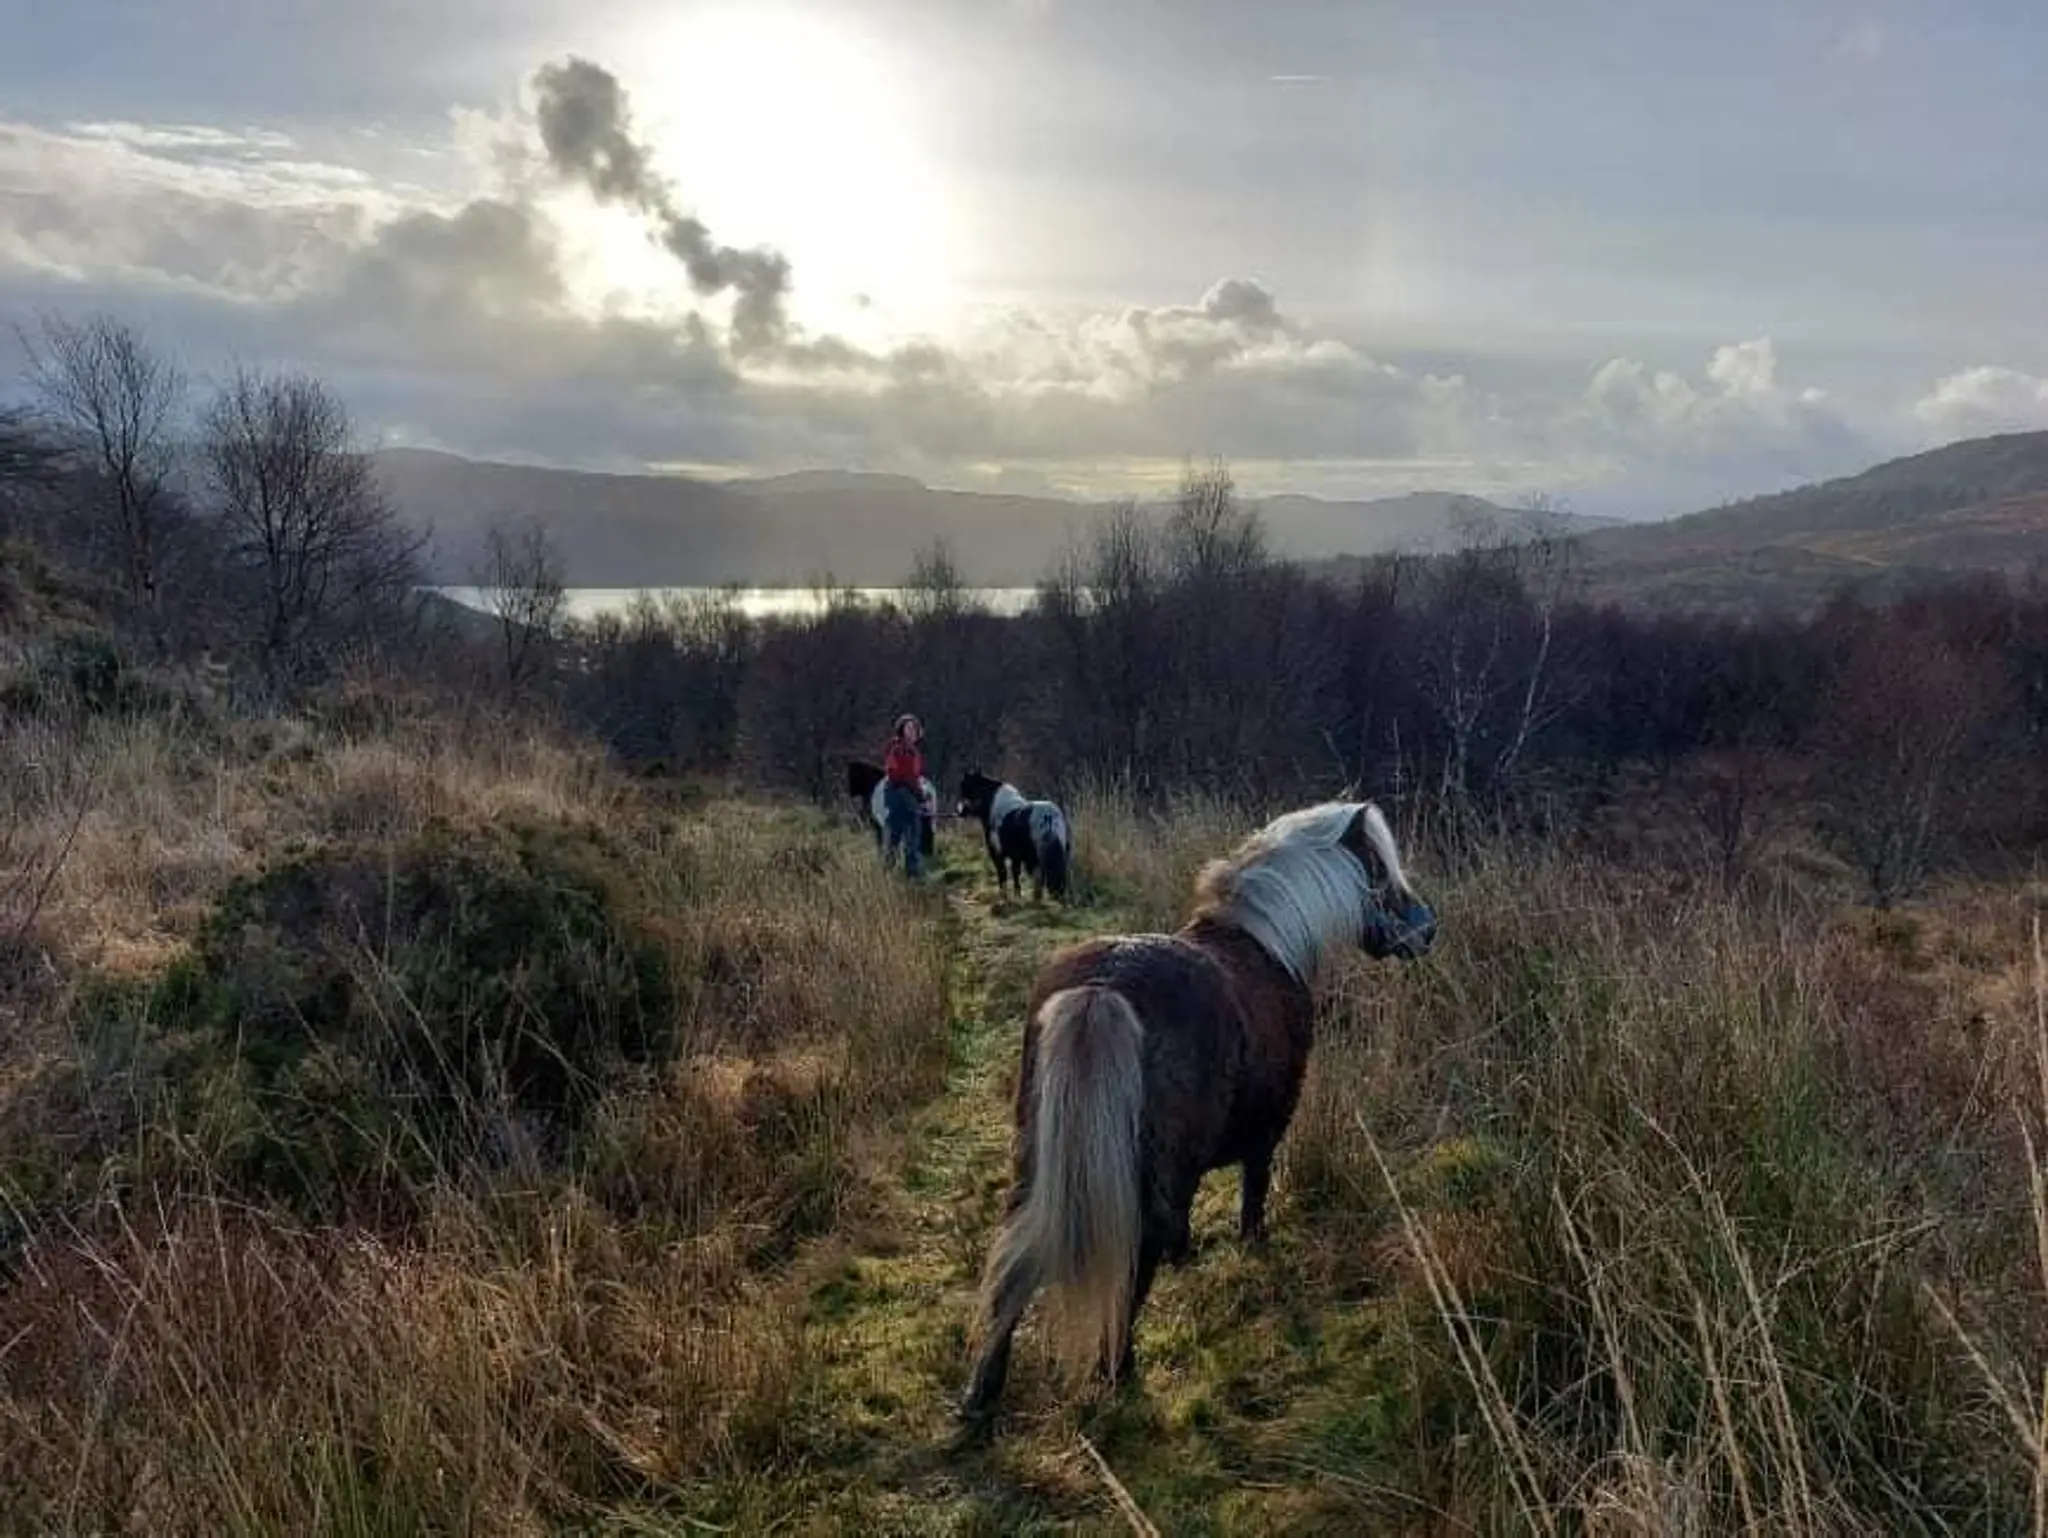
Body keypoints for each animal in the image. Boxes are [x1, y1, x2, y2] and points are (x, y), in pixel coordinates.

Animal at [957, 770, 1073, 903]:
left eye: (967, 787)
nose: (960, 811)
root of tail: (1049, 818)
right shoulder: (1016, 856)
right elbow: (1016, 873)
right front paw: (1017, 895)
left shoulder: (997, 853)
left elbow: (1003, 873)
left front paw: (1004, 896)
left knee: (1039, 876)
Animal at [958, 799, 1437, 1429]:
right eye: (1377, 869)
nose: (1426, 927)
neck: (1264, 945)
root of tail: (1102, 989)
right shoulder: (1263, 1136)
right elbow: (1253, 1197)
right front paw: (1253, 1250)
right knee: (1133, 1258)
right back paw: (1118, 1369)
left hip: (1035, 1162)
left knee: (1014, 1257)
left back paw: (981, 1393)